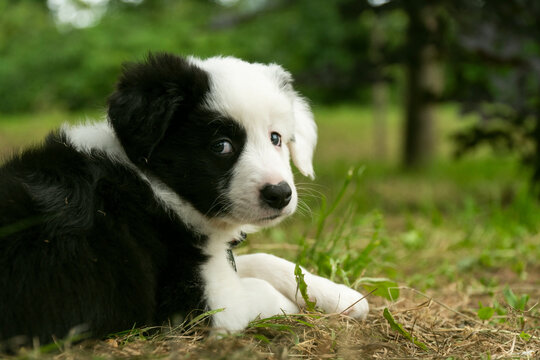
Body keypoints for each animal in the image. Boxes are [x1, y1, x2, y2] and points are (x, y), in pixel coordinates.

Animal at [0, 53, 368, 346]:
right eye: (221, 146)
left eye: (276, 138)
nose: (279, 194)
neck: (155, 183)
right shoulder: (194, 304)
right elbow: (256, 289)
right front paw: (293, 306)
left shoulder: (212, 260)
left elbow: (262, 259)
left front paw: (341, 295)